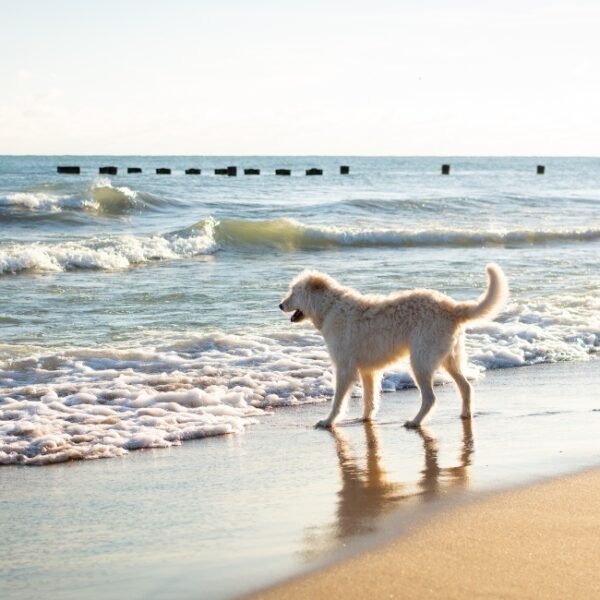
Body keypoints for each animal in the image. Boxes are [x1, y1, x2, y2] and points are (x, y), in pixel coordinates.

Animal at [280, 264, 506, 428]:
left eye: (293, 291)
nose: (280, 305)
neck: (330, 307)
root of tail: (451, 307)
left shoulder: (344, 369)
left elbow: (338, 401)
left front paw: (328, 421)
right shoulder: (368, 371)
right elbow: (369, 399)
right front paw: (365, 419)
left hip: (420, 362)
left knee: (430, 398)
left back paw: (415, 422)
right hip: (449, 359)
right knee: (466, 387)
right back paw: (465, 414)